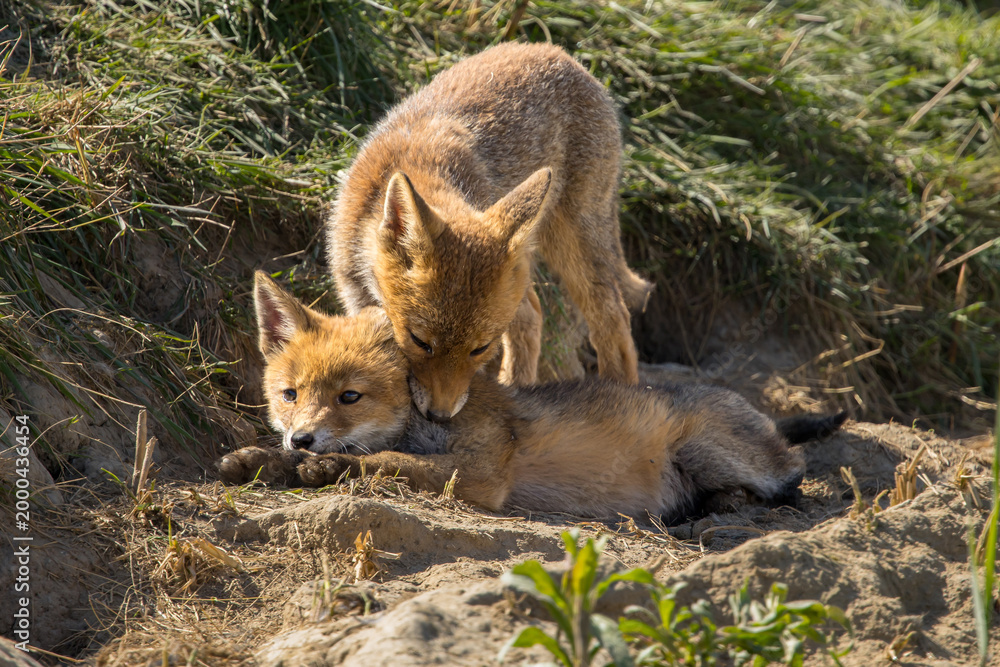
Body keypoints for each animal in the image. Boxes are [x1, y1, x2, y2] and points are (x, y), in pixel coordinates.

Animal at [218, 273, 846, 520]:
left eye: (350, 397)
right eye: (289, 394)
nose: (301, 436)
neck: (431, 419)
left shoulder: (483, 474)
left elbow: (383, 460)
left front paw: (321, 467)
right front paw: (263, 460)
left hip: (707, 450)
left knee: (794, 474)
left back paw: (734, 502)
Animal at [327, 41, 653, 423]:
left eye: (480, 349)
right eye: (420, 341)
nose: (440, 415)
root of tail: (558, 52)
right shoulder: (355, 294)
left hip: (574, 242)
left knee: (612, 320)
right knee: (533, 315)